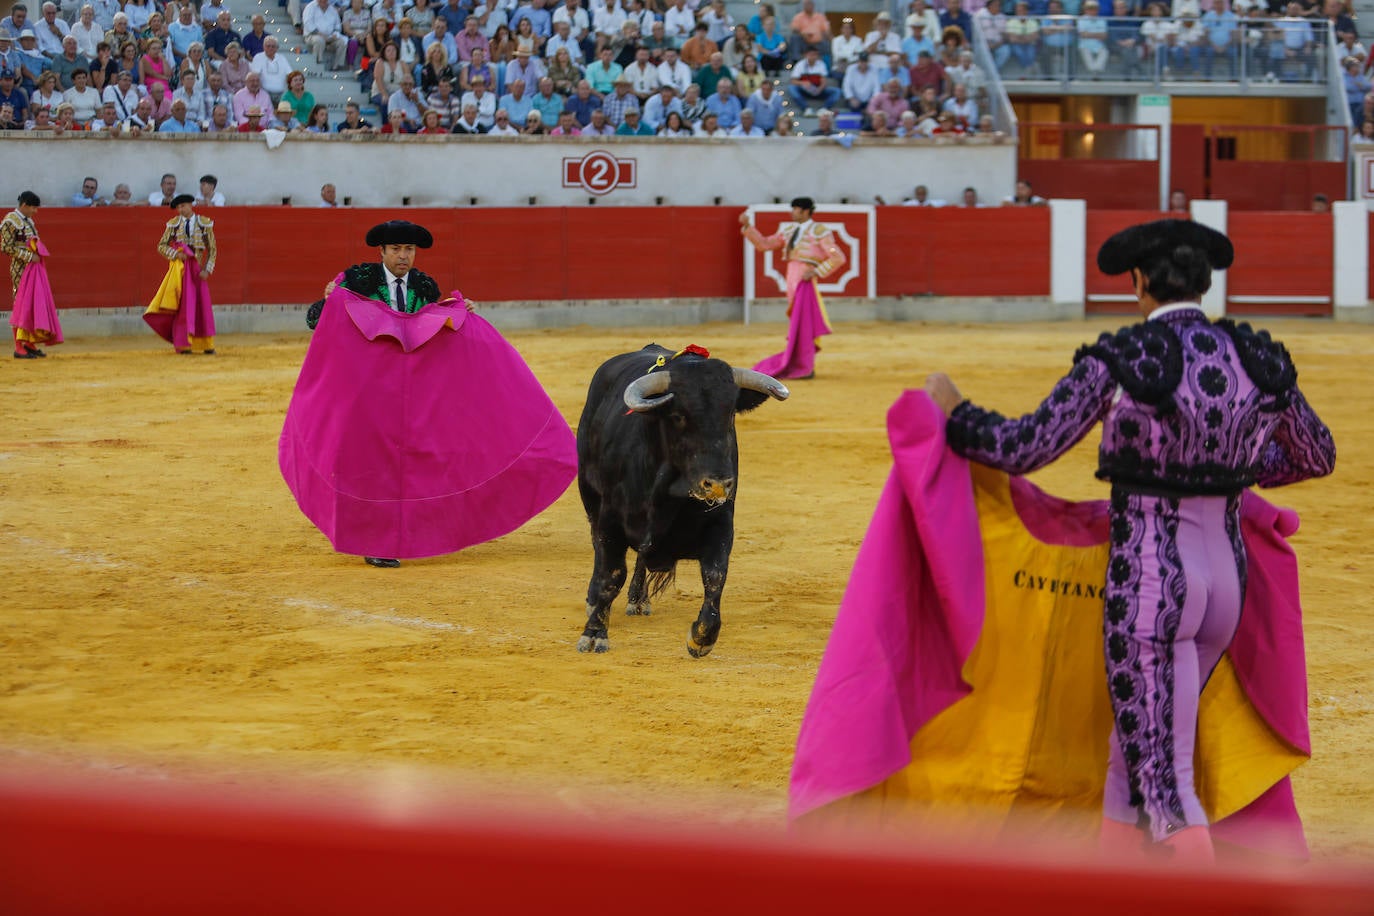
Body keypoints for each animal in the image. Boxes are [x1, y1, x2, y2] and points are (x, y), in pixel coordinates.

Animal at [574, 347, 791, 656]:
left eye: (729, 414)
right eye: (678, 416)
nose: (717, 484)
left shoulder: (721, 522)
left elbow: (715, 575)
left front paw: (702, 637)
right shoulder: (609, 520)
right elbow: (610, 574)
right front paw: (593, 632)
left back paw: (638, 599)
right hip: (589, 496)